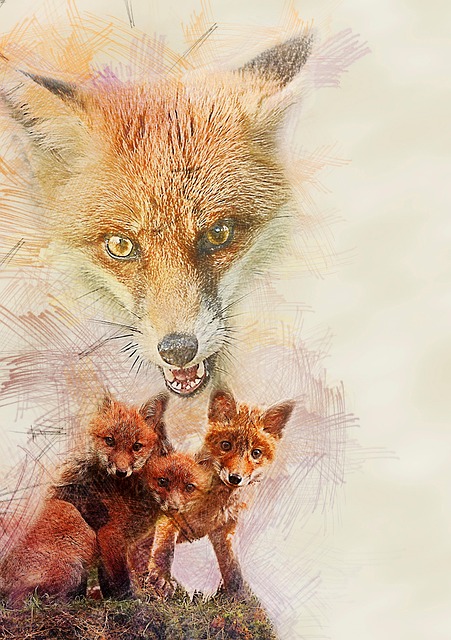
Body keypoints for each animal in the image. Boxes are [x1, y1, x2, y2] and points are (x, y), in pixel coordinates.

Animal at [143, 389, 294, 598]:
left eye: (256, 453)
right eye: (226, 445)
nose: (235, 478)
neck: (214, 503)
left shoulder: (225, 531)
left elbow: (232, 567)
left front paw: (239, 596)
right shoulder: (169, 515)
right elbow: (165, 550)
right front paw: (161, 577)